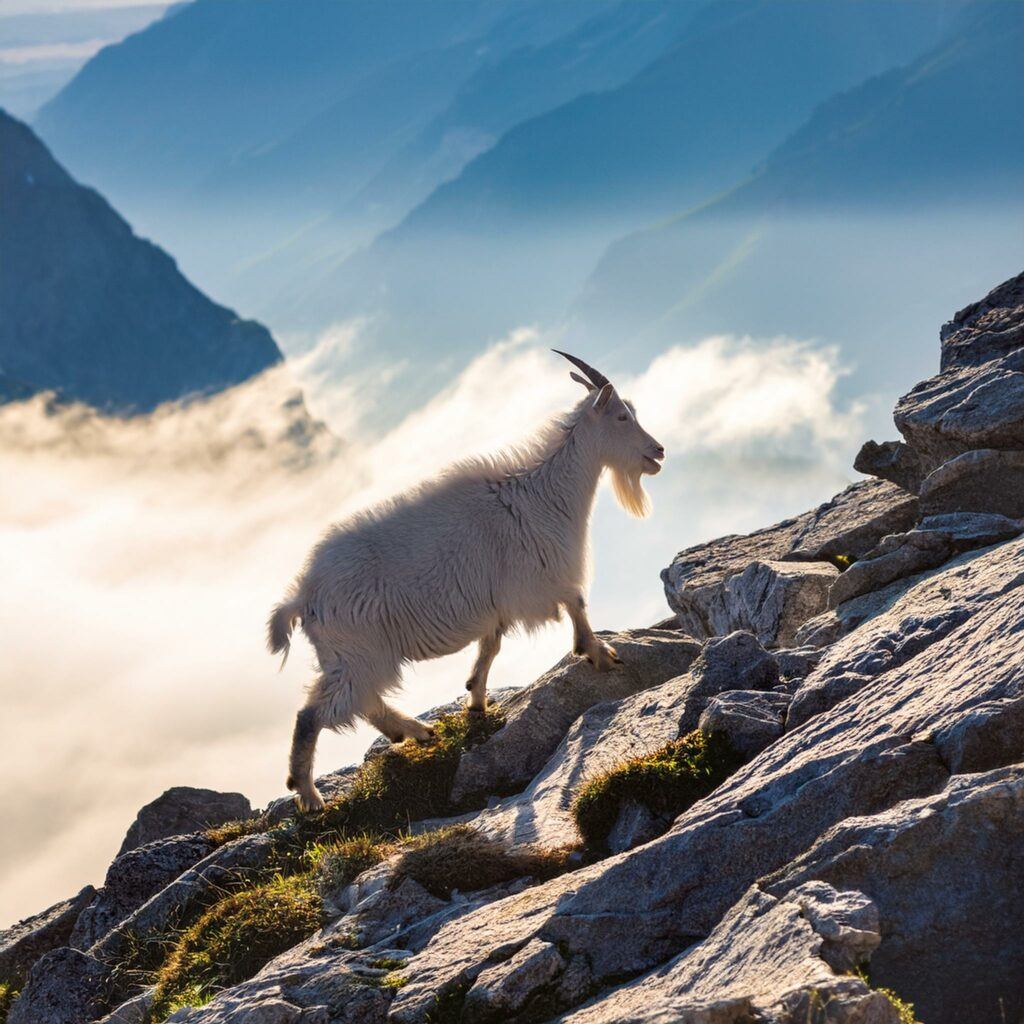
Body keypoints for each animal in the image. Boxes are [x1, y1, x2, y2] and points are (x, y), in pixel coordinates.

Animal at [268, 352, 663, 806]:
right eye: (621, 417)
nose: (658, 451)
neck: (543, 493)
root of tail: (303, 595)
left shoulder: (498, 603)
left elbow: (491, 646)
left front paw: (475, 699)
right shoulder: (542, 575)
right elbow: (576, 604)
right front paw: (600, 653)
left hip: (350, 657)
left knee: (359, 702)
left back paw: (415, 732)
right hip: (361, 653)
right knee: (313, 713)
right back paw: (309, 794)